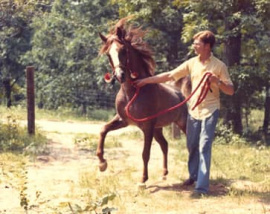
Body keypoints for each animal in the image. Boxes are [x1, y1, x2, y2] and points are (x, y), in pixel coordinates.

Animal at [98, 16, 189, 185]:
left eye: (123, 50)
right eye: (108, 54)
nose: (120, 76)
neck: (132, 93)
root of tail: (180, 94)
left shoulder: (147, 126)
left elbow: (145, 153)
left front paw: (142, 180)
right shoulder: (123, 120)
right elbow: (103, 130)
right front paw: (102, 163)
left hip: (181, 124)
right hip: (158, 129)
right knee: (165, 145)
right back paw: (164, 173)